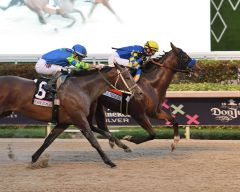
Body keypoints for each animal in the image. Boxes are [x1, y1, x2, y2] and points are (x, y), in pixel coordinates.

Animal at [0, 63, 142, 167]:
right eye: (127, 77)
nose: (140, 93)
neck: (81, 89)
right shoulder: (79, 119)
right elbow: (94, 140)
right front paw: (109, 162)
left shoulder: (65, 122)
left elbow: (48, 140)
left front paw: (34, 159)